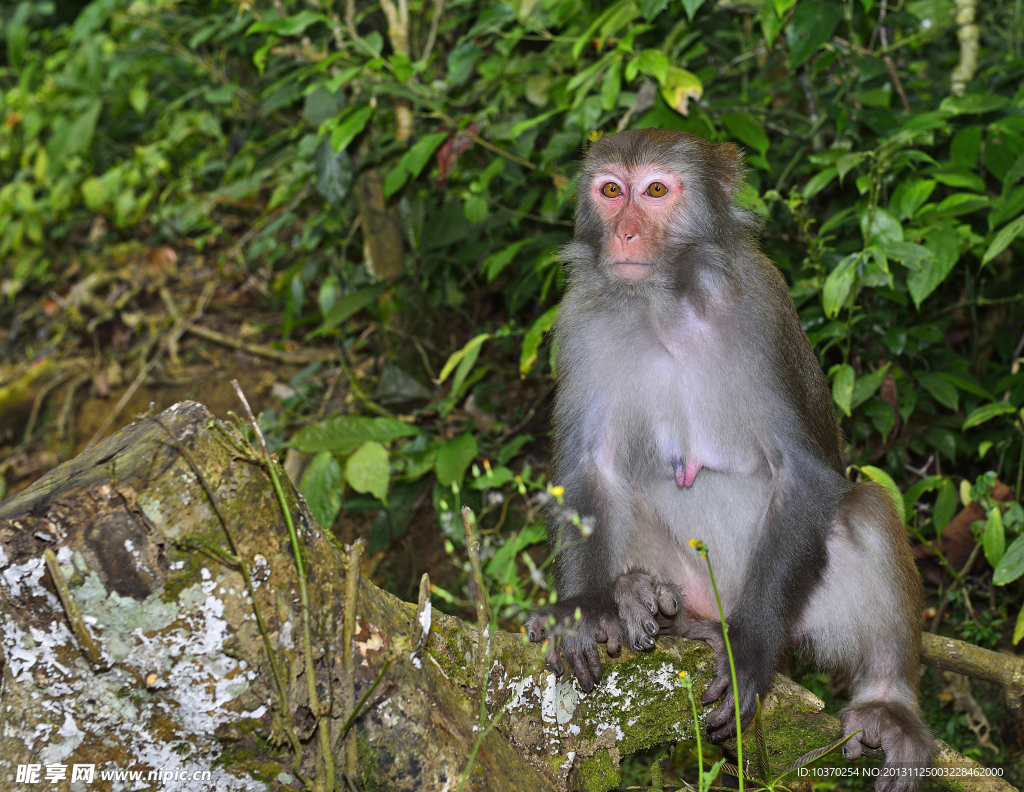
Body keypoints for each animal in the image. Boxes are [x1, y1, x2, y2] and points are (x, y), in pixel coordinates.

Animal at [528, 126, 937, 786]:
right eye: (611, 191)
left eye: (656, 191)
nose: (625, 233)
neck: (664, 305)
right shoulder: (581, 322)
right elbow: (591, 470)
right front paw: (587, 607)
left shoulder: (761, 313)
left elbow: (803, 473)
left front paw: (746, 653)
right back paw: (640, 595)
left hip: (804, 604)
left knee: (867, 507)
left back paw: (886, 704)